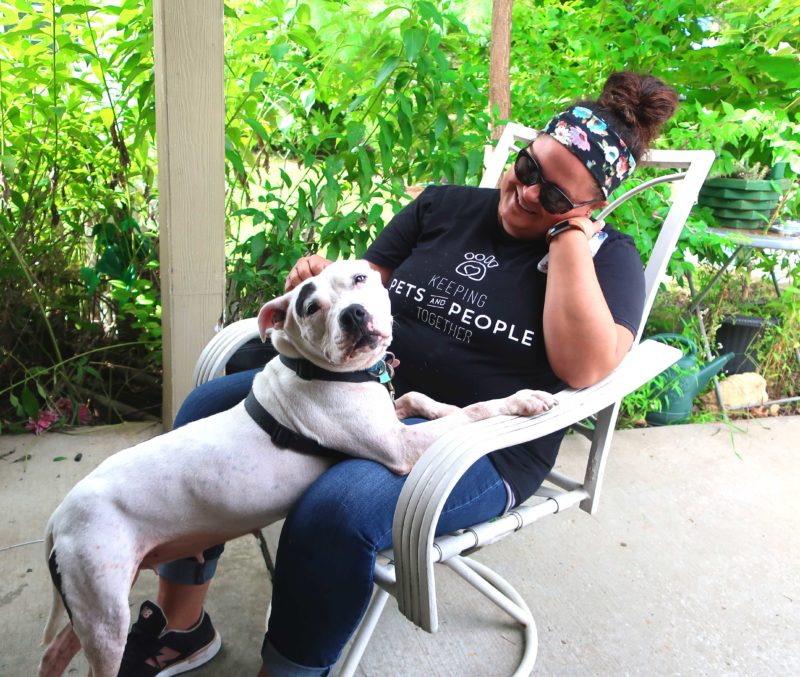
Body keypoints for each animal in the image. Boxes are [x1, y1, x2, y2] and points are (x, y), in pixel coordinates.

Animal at [39, 256, 556, 672]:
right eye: (311, 307)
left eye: (360, 279)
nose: (353, 314)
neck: (327, 372)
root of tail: (59, 516)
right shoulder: (401, 449)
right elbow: (472, 411)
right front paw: (520, 401)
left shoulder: (395, 417)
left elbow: (421, 400)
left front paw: (449, 405)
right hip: (106, 614)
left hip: (90, 605)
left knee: (54, 652)